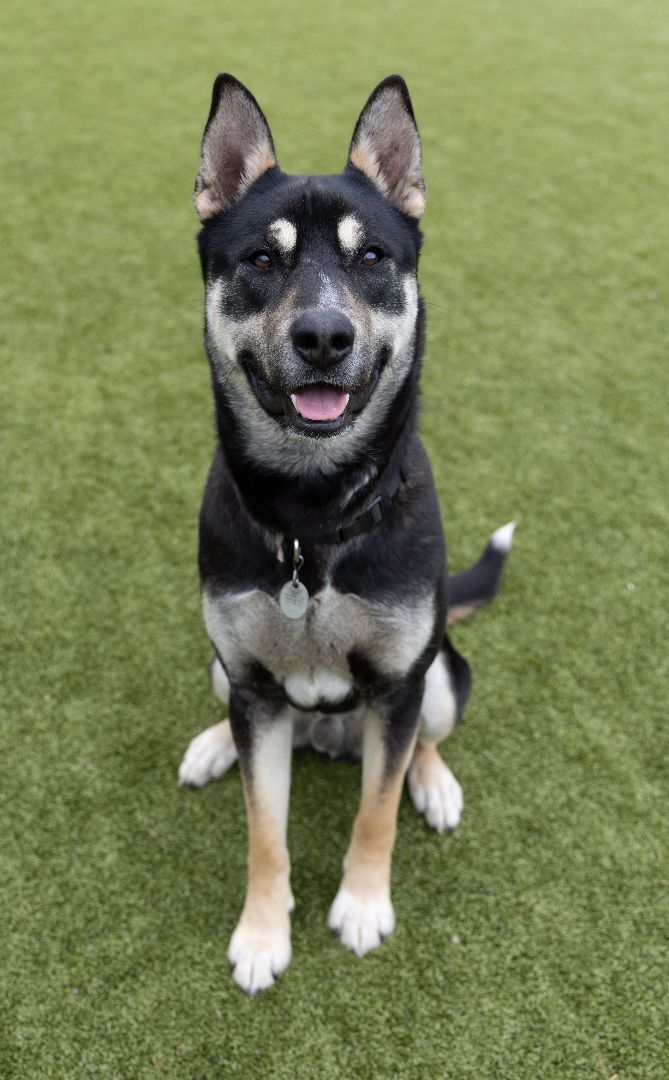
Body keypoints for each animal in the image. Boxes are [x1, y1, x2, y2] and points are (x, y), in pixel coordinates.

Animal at [176, 73, 512, 993]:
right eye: (262, 259)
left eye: (371, 259)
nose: (323, 337)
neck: (312, 519)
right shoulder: (255, 687)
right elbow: (264, 831)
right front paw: (262, 934)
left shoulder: (398, 687)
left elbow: (375, 810)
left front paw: (362, 906)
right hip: (226, 672)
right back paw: (210, 747)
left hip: (438, 676)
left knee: (422, 741)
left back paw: (434, 785)